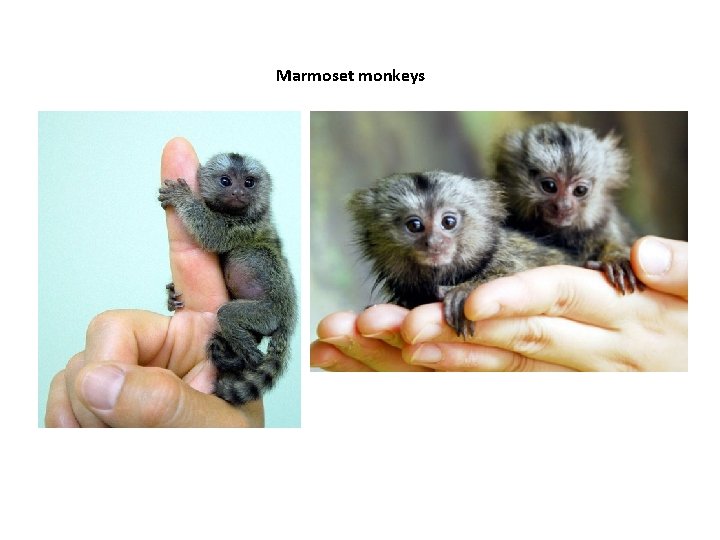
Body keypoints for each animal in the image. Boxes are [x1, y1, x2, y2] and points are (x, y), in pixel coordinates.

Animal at [158, 152, 297, 406]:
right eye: (226, 181)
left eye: (249, 183)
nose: (238, 192)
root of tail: (289, 321)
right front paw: (171, 296)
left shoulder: (245, 226)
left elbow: (213, 233)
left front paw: (183, 197)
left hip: (268, 314)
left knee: (228, 313)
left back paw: (248, 354)